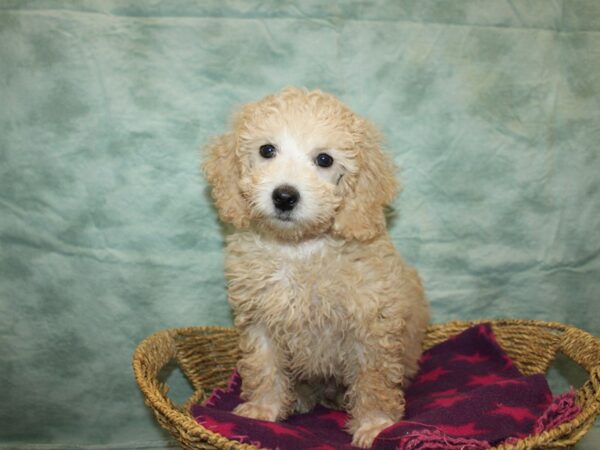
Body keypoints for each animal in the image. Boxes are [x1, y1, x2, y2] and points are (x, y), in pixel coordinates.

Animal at [204, 87, 428, 446]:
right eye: (267, 150)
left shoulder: (370, 325)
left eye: (324, 160)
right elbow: (264, 367)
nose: (284, 196)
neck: (299, 248)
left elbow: (373, 380)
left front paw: (375, 424)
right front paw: (263, 410)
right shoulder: (259, 320)